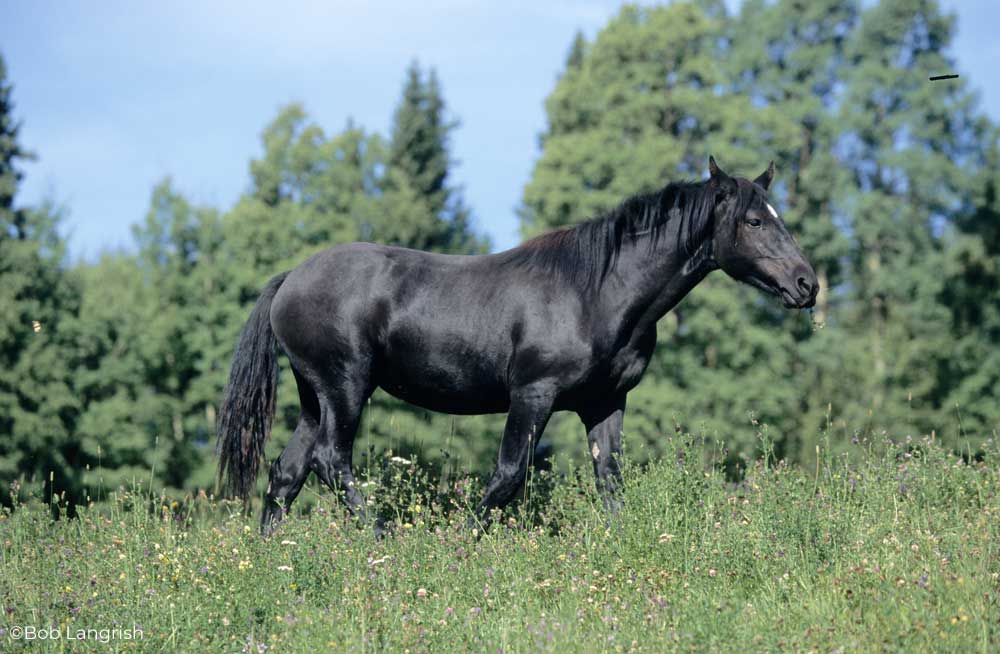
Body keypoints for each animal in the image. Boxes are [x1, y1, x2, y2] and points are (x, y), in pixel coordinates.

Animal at [215, 156, 816, 536]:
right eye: (754, 220)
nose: (807, 284)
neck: (595, 289)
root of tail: (290, 279)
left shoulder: (604, 403)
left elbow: (610, 481)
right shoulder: (533, 395)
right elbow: (508, 475)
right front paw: (461, 544)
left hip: (315, 398)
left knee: (286, 474)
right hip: (344, 389)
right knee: (330, 461)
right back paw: (384, 538)